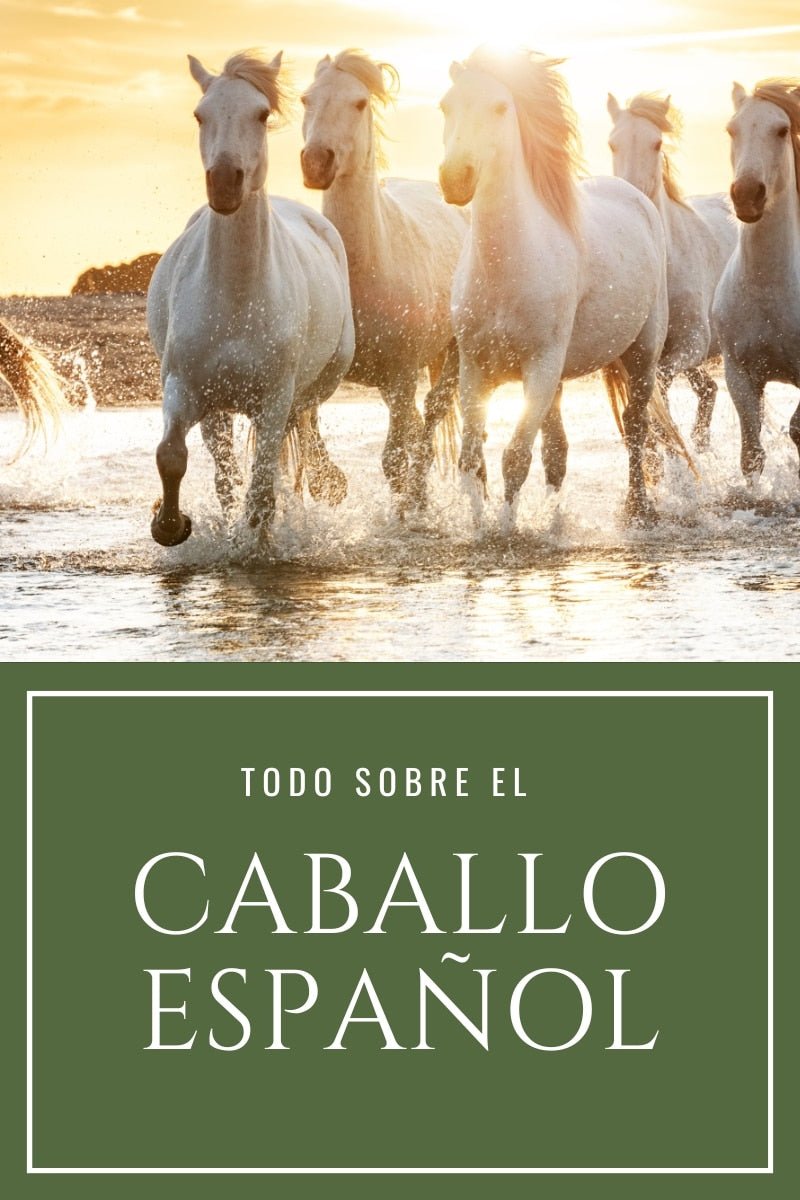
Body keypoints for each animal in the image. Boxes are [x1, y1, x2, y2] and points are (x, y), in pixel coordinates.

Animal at [147, 49, 354, 547]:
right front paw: (171, 525)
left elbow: (261, 489)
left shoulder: (274, 400)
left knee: (303, 430)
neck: (238, 298)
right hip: (220, 408)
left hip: (315, 383)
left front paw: (257, 544)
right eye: (199, 115)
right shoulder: (186, 389)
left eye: (261, 114)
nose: (225, 182)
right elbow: (174, 456)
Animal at [299, 49, 468, 507]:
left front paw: (405, 510)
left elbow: (393, 459)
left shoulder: (402, 374)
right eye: (306, 99)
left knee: (431, 415)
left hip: (447, 357)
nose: (316, 163)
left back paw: (420, 497)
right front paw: (329, 482)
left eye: (359, 103)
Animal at [438, 48, 687, 527]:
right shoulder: (474, 369)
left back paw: (638, 507)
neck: (507, 266)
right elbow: (472, 458)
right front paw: (478, 525)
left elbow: (515, 457)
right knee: (558, 451)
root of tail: (635, 196)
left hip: (642, 357)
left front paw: (505, 529)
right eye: (446, 106)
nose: (455, 178)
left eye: (500, 107)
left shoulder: (541, 367)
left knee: (635, 427)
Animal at [607, 92, 737, 450]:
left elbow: (660, 386)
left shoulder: (693, 341)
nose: (633, 196)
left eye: (657, 143)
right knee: (709, 390)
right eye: (612, 144)